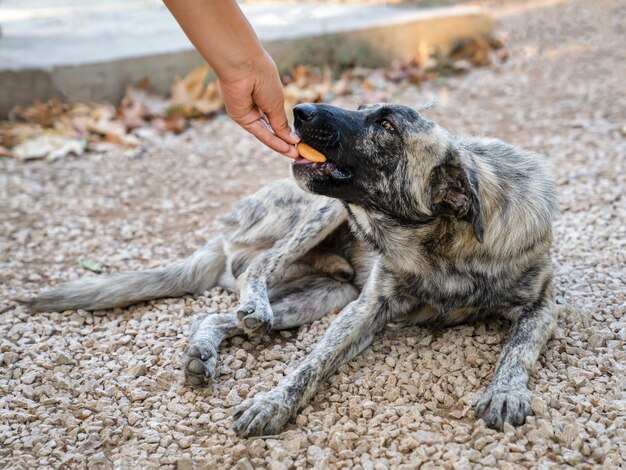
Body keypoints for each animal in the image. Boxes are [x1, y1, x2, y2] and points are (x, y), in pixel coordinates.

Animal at [29, 103, 560, 436]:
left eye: (387, 126)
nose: (299, 110)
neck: (441, 242)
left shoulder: (544, 305)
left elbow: (517, 348)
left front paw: (505, 391)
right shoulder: (366, 308)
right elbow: (310, 364)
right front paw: (274, 402)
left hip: (324, 293)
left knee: (218, 314)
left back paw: (204, 351)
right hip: (320, 216)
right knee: (255, 272)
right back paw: (246, 311)